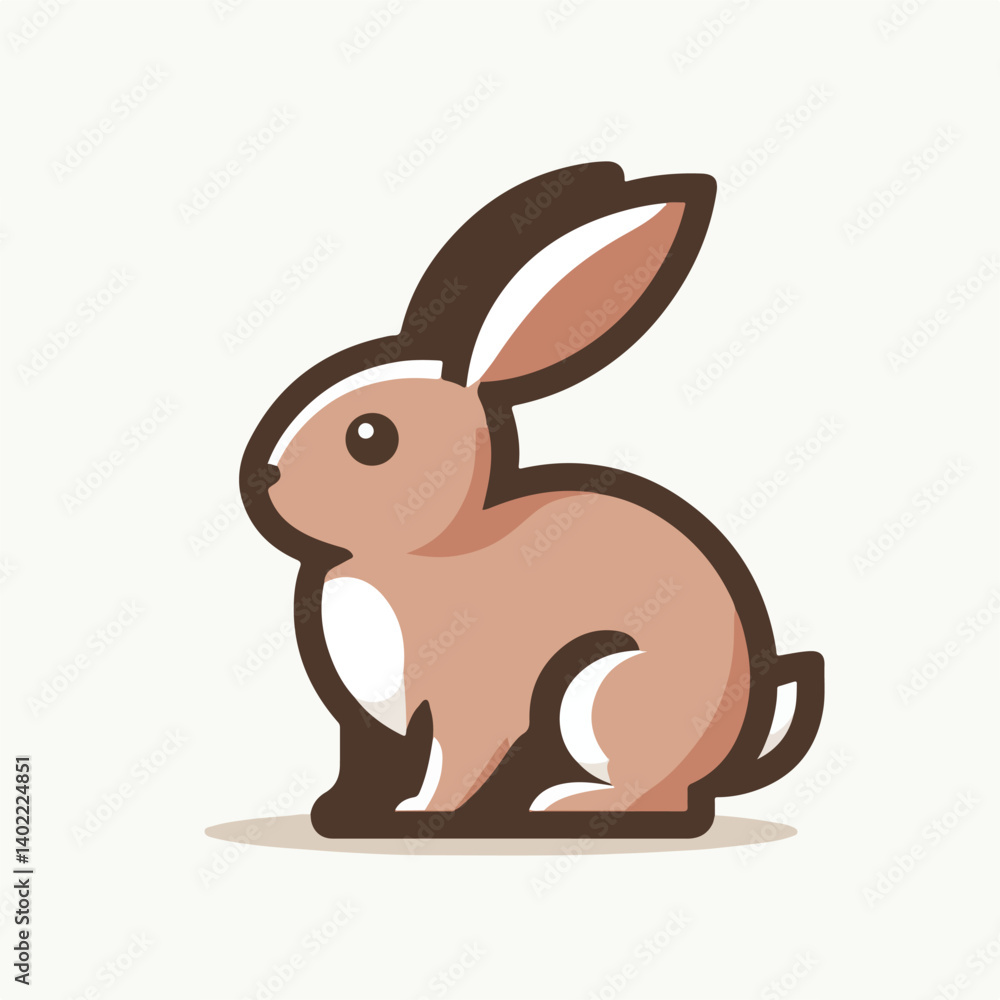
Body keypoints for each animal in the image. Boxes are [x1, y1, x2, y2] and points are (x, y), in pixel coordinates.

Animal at [239, 163, 824, 839]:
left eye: (370, 436)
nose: (263, 477)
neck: (423, 550)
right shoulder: (368, 722)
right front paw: (343, 811)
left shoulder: (473, 696)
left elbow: (460, 754)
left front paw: (423, 814)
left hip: (598, 687)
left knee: (652, 792)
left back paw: (564, 803)